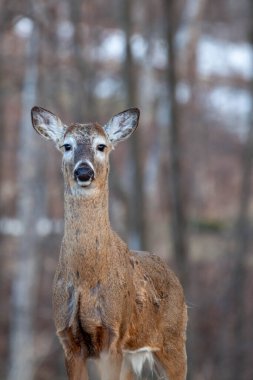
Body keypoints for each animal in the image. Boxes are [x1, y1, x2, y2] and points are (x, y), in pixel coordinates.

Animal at [30, 106, 187, 380]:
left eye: (101, 145)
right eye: (67, 145)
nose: (84, 171)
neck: (86, 277)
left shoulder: (112, 334)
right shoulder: (67, 338)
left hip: (174, 340)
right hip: (134, 355)